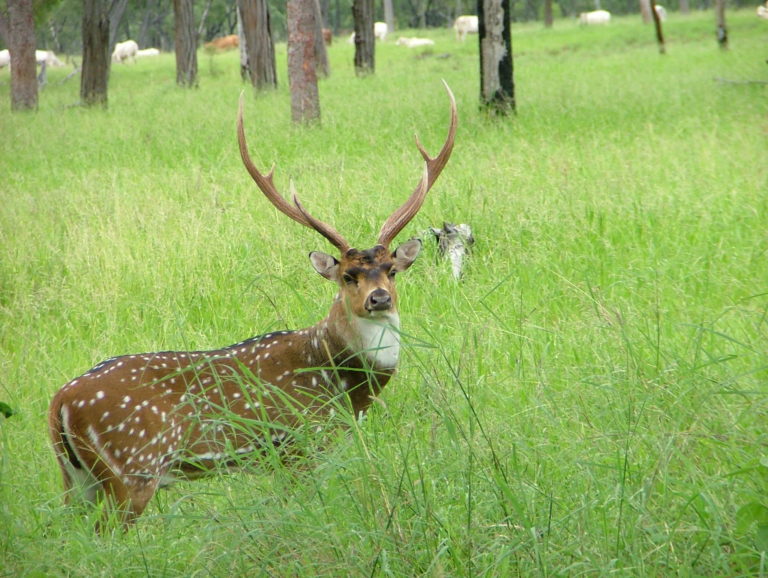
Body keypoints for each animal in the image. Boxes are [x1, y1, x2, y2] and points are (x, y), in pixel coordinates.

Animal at [48, 82, 460, 528]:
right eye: (348, 275)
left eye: (391, 270)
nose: (379, 298)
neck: (340, 384)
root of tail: (58, 403)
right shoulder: (299, 441)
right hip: (132, 469)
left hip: (77, 479)